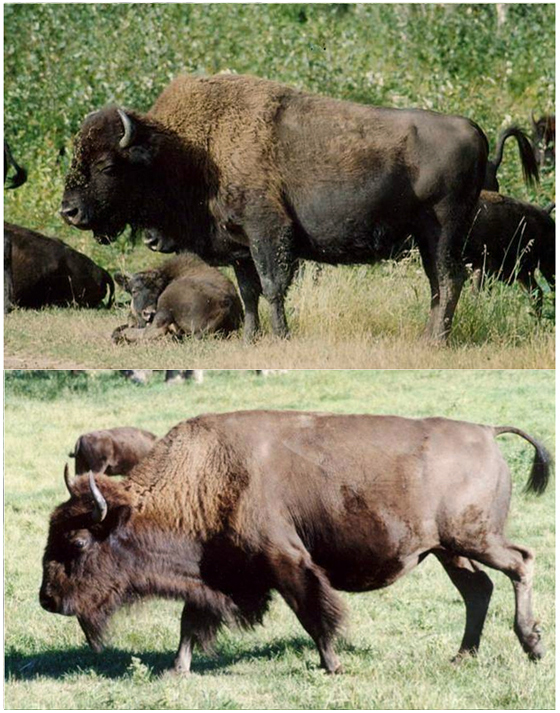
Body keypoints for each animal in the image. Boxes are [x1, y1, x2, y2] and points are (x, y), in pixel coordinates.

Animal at [40, 408, 552, 672]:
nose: (48, 599)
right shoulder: (210, 576)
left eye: (78, 543)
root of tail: (486, 431)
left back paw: (532, 644)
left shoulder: (287, 562)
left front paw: (333, 665)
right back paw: (463, 656)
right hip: (448, 550)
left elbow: (314, 615)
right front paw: (177, 670)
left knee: (521, 562)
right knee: (478, 589)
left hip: (473, 538)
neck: (207, 473)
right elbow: (190, 623)